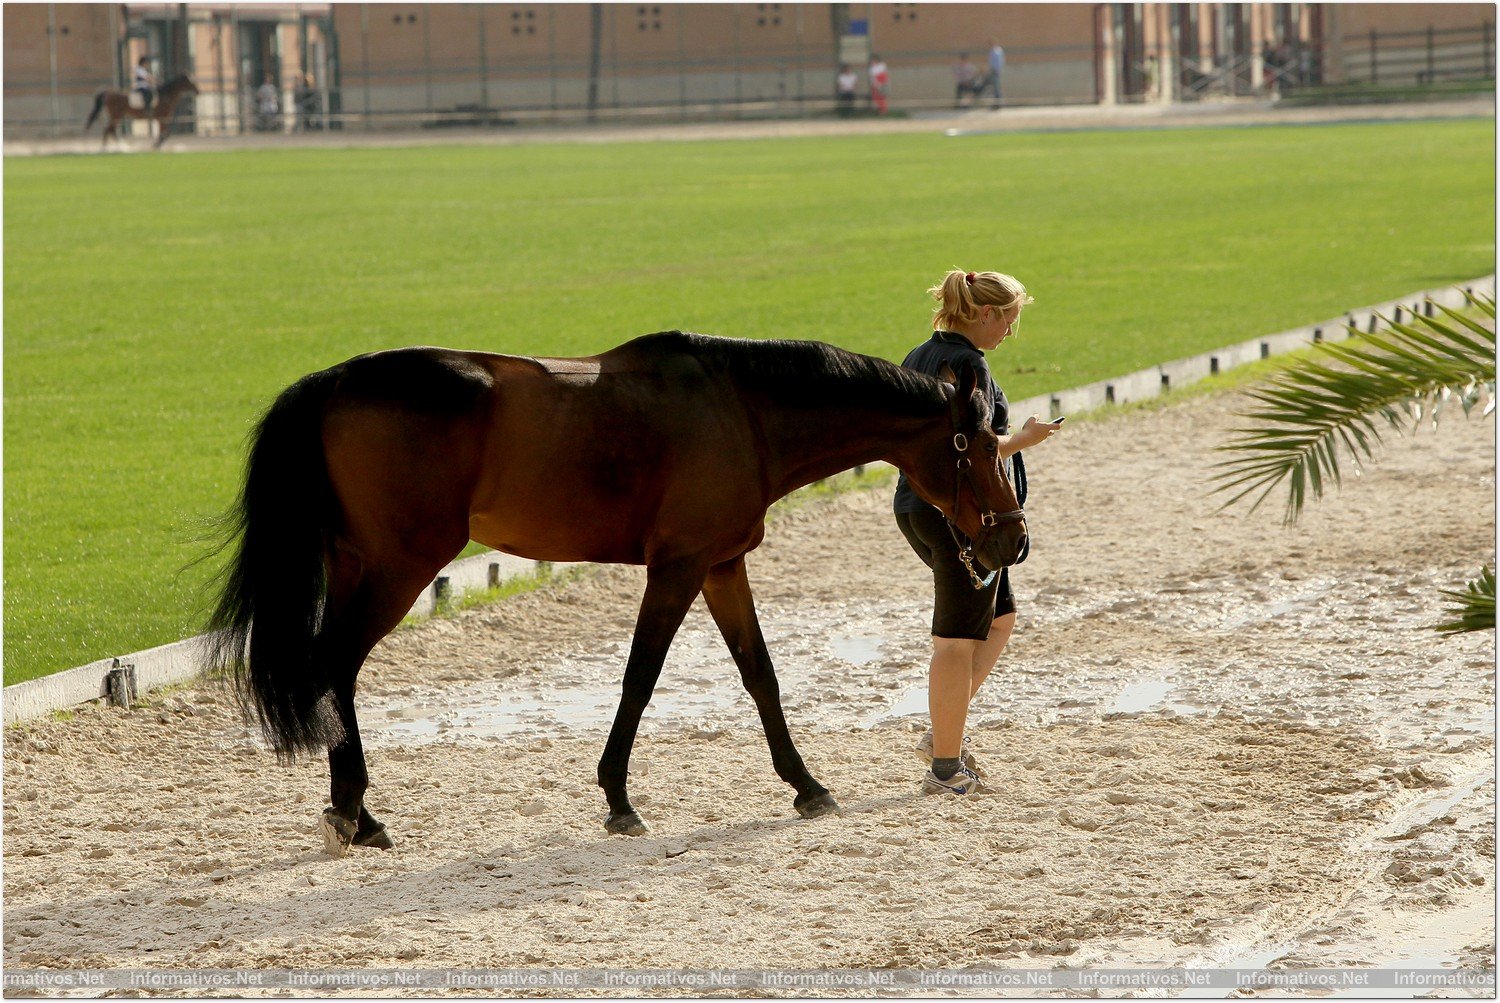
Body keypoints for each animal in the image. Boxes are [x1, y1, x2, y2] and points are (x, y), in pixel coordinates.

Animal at [205, 332, 1026, 851]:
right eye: (978, 446)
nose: (1010, 542)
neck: (742, 410)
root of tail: (332, 383)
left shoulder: (722, 566)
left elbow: (760, 674)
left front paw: (806, 784)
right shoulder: (679, 567)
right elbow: (641, 675)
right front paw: (618, 799)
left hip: (357, 565)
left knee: (334, 671)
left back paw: (353, 808)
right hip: (400, 566)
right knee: (335, 664)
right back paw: (357, 812)